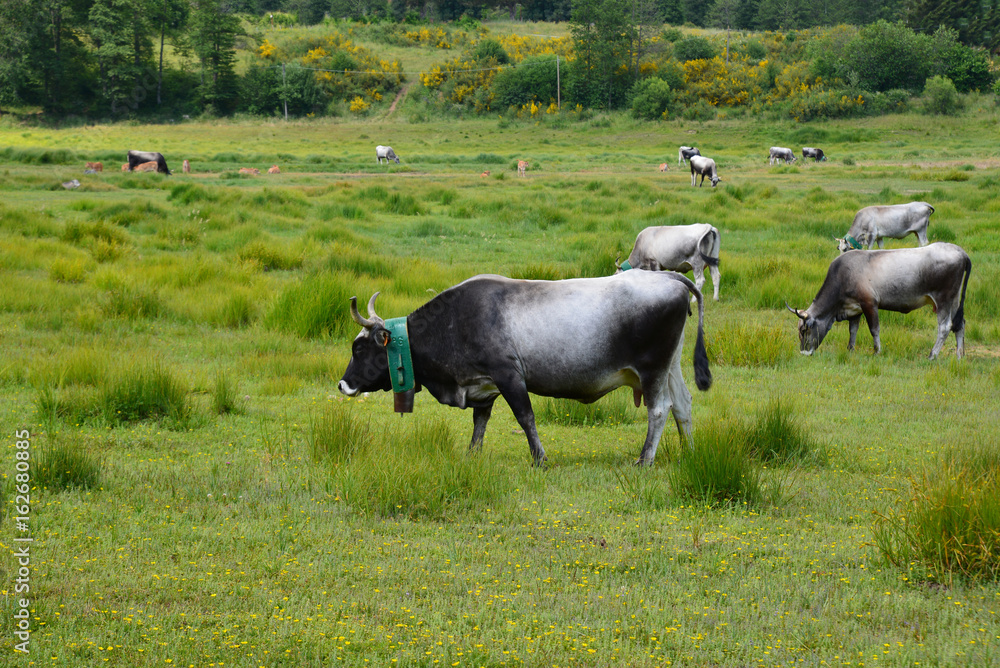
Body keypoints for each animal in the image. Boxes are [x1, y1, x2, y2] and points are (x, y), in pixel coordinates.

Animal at [339, 271, 712, 466]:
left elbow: (525, 417)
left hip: (652, 371)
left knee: (660, 410)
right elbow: (480, 423)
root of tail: (666, 275)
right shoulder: (484, 386)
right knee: (683, 405)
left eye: (359, 348)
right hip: (671, 369)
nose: (343, 385)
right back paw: (690, 452)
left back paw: (645, 459)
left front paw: (539, 458)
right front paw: (472, 455)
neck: (454, 321)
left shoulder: (509, 376)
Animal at [786, 243, 971, 360]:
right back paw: (959, 356)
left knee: (945, 327)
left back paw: (932, 355)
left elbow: (874, 329)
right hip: (955, 301)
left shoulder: (869, 304)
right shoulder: (855, 309)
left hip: (943, 300)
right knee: (960, 324)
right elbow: (853, 331)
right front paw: (850, 350)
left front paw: (877, 351)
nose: (803, 353)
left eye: (804, 330)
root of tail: (960, 251)